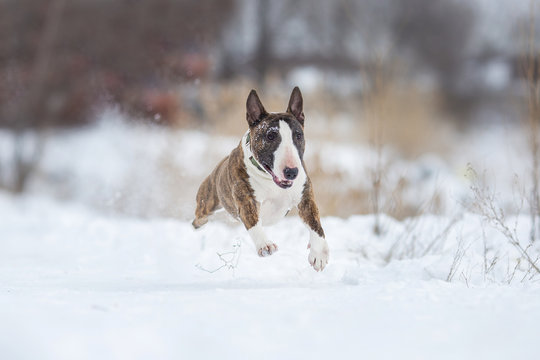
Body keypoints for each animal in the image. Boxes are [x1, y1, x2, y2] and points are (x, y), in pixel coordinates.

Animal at [194, 87, 330, 272]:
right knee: (199, 220)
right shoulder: (246, 200)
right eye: (270, 136)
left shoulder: (305, 197)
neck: (270, 180)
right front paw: (265, 245)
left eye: (298, 135)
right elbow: (253, 223)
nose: (291, 172)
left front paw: (319, 254)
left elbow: (315, 224)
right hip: (205, 206)